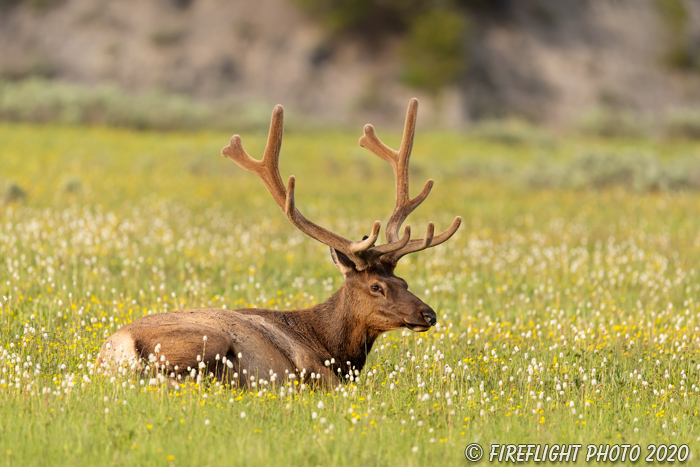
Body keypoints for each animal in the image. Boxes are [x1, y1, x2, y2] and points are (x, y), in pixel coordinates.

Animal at [97, 98, 460, 388]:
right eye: (376, 287)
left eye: (404, 281)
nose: (428, 314)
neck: (333, 348)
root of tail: (117, 351)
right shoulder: (317, 371)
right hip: (207, 341)